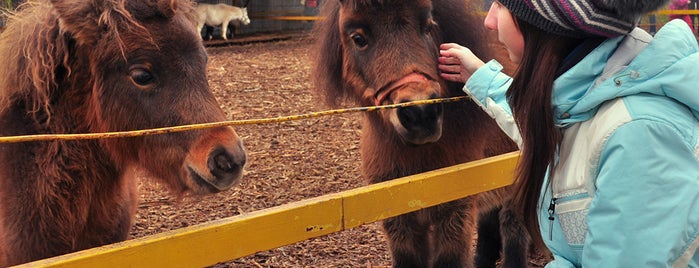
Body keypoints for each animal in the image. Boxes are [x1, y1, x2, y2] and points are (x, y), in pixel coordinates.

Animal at [312, 0, 532, 268]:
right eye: (358, 38)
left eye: (428, 26)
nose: (420, 113)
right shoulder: (400, 223)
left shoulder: (455, 215)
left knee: (513, 228)